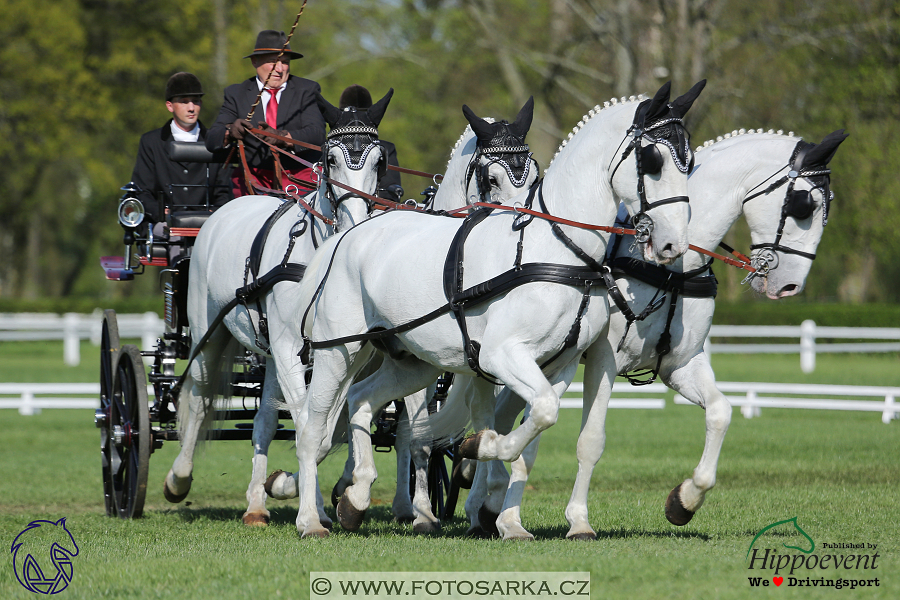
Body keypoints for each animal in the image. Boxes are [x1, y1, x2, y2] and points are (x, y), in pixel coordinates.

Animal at [163, 88, 394, 524]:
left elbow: (327, 426)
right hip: (208, 333)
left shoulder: (339, 352)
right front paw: (309, 507)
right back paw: (178, 479)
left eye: (380, 160)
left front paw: (309, 494)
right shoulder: (290, 348)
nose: (354, 225)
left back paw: (256, 502)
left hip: (270, 352)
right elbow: (307, 424)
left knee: (265, 420)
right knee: (198, 399)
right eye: (330, 159)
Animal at [264, 98, 536, 536]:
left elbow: (455, 428)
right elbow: (412, 433)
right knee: (321, 418)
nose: (522, 228)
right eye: (490, 178)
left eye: (534, 176)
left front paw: (460, 500)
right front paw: (422, 510)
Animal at [292, 81, 708, 540]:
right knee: (312, 428)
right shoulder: (500, 354)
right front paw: (482, 451)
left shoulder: (560, 364)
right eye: (652, 161)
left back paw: (356, 498)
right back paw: (311, 519)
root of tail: (348, 235)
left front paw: (501, 505)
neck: (559, 250)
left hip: (413, 362)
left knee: (362, 400)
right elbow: (537, 412)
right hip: (338, 351)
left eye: (690, 162)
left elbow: (539, 420)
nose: (673, 244)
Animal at [468, 126, 848, 540]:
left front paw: (685, 500)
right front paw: (577, 520)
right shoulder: (602, 359)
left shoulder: (681, 365)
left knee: (502, 418)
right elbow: (590, 441)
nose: (790, 287)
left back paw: (482, 497)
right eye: (804, 206)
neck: (670, 269)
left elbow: (720, 412)